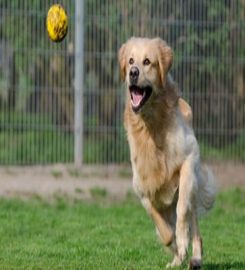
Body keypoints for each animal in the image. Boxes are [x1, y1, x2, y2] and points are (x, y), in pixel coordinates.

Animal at [118, 37, 216, 268]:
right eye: (131, 61)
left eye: (147, 61)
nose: (132, 72)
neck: (151, 126)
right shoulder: (142, 189)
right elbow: (162, 229)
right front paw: (175, 246)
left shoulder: (189, 159)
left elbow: (181, 212)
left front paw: (182, 242)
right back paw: (178, 259)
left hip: (193, 187)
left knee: (194, 226)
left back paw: (195, 258)